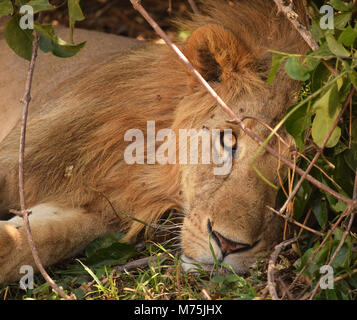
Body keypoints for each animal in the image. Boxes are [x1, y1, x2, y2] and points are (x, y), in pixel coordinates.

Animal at [0, 0, 308, 284]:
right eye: (230, 140)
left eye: (293, 177)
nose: (229, 244)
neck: (147, 168)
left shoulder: (103, 209)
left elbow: (38, 242)